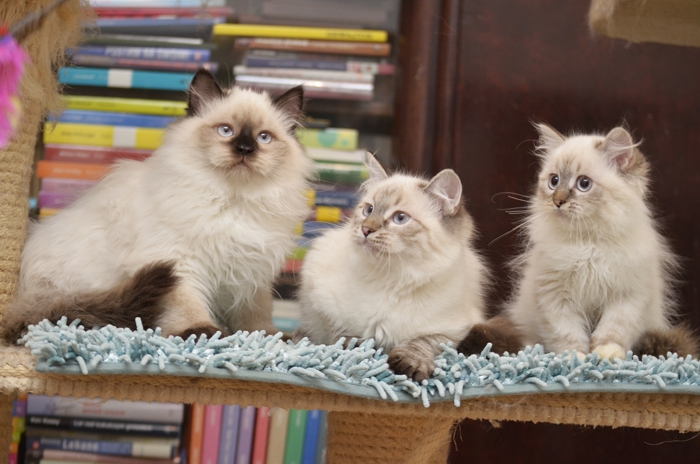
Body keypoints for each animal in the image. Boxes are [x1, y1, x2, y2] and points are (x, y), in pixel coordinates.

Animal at [2, 69, 314, 343]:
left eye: (263, 137)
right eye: (225, 131)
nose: (245, 150)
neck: (233, 203)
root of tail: (23, 297)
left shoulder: (252, 273)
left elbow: (256, 315)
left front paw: (271, 338)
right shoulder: (179, 262)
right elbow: (187, 306)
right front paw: (203, 334)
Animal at [296, 153, 488, 381]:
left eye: (400, 218)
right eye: (368, 210)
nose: (366, 229)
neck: (395, 277)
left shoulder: (452, 330)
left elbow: (422, 343)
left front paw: (411, 366)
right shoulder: (321, 300)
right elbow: (343, 336)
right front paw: (356, 351)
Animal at [479, 123, 697, 360]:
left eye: (584, 184)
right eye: (554, 181)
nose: (558, 201)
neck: (588, 244)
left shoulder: (626, 296)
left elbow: (612, 331)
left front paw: (605, 355)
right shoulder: (557, 298)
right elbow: (569, 336)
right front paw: (577, 359)